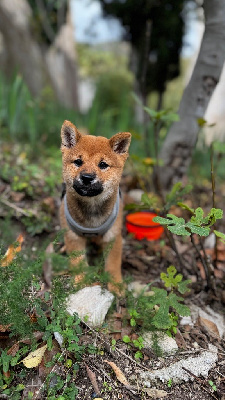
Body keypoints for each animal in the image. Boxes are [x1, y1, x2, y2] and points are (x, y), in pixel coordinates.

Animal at [59, 120, 132, 292]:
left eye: (103, 164)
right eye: (78, 162)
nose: (87, 177)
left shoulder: (113, 237)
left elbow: (113, 264)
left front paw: (116, 285)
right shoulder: (73, 237)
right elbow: (78, 262)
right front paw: (81, 281)